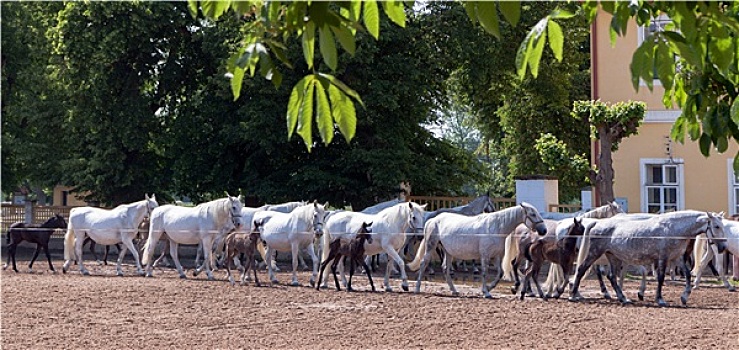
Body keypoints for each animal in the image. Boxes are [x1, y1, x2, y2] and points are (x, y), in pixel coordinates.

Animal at [408, 202, 548, 298]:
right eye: (533, 214)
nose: (544, 230)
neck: (496, 226)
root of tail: (432, 219)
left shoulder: (496, 256)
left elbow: (500, 273)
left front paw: (490, 288)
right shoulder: (485, 256)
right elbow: (484, 272)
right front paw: (486, 292)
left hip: (448, 252)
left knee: (445, 268)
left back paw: (454, 291)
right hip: (431, 246)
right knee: (423, 263)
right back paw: (417, 289)